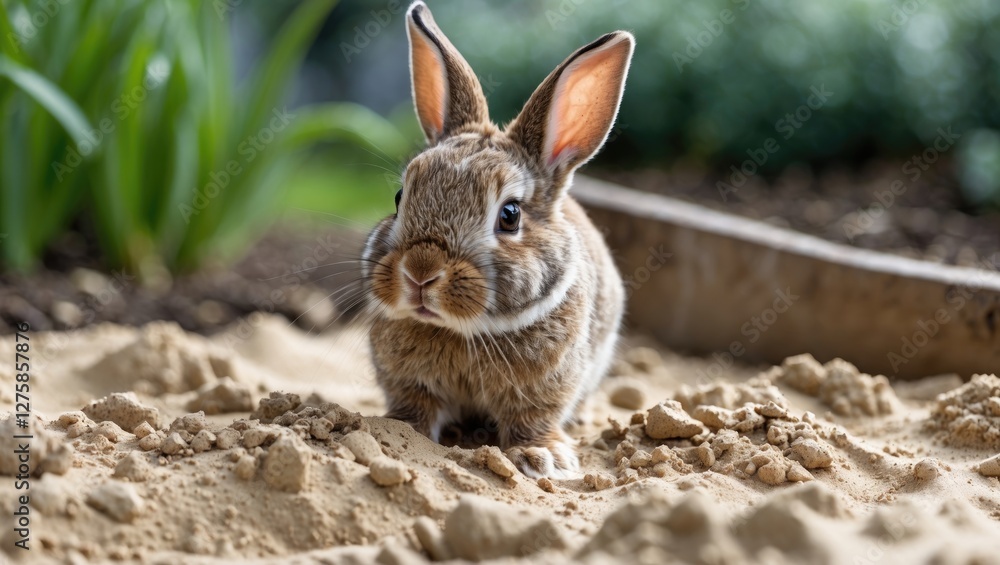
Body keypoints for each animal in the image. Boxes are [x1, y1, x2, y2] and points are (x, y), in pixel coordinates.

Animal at [361, 0, 632, 479]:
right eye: (398, 198)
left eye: (509, 215)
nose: (421, 273)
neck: (461, 331)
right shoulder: (407, 382)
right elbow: (415, 410)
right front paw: (395, 432)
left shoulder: (545, 389)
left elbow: (532, 420)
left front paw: (543, 458)